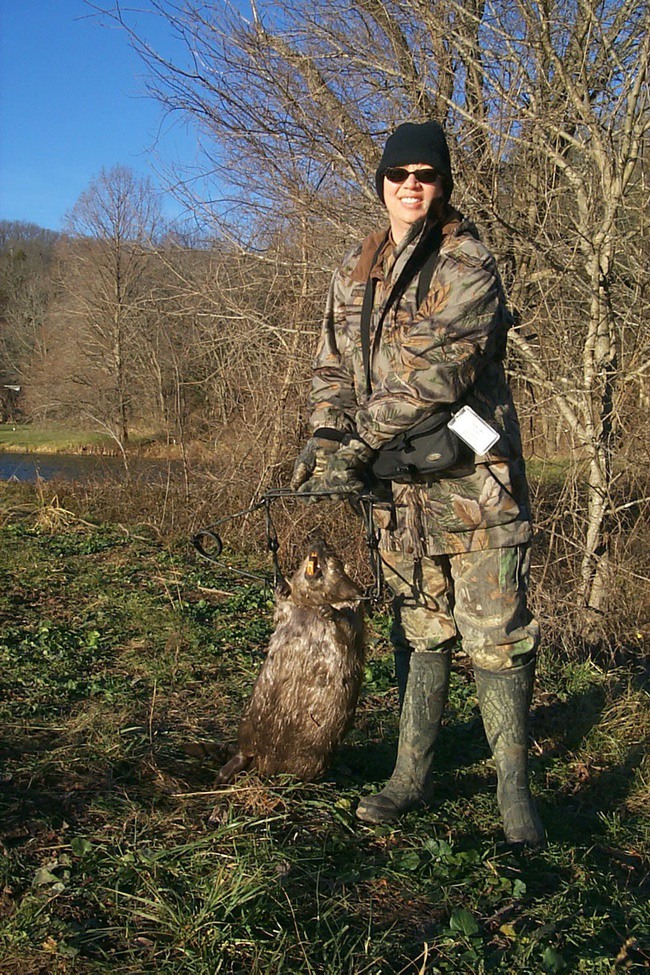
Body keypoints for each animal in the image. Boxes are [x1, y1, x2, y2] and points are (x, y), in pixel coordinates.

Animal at [216, 540, 364, 784]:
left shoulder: (355, 608)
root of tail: (264, 763)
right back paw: (224, 773)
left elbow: (349, 628)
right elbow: (281, 607)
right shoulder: (291, 606)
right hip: (247, 724)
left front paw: (328, 611)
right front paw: (281, 587)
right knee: (244, 750)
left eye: (333, 555)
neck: (311, 604)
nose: (319, 541)